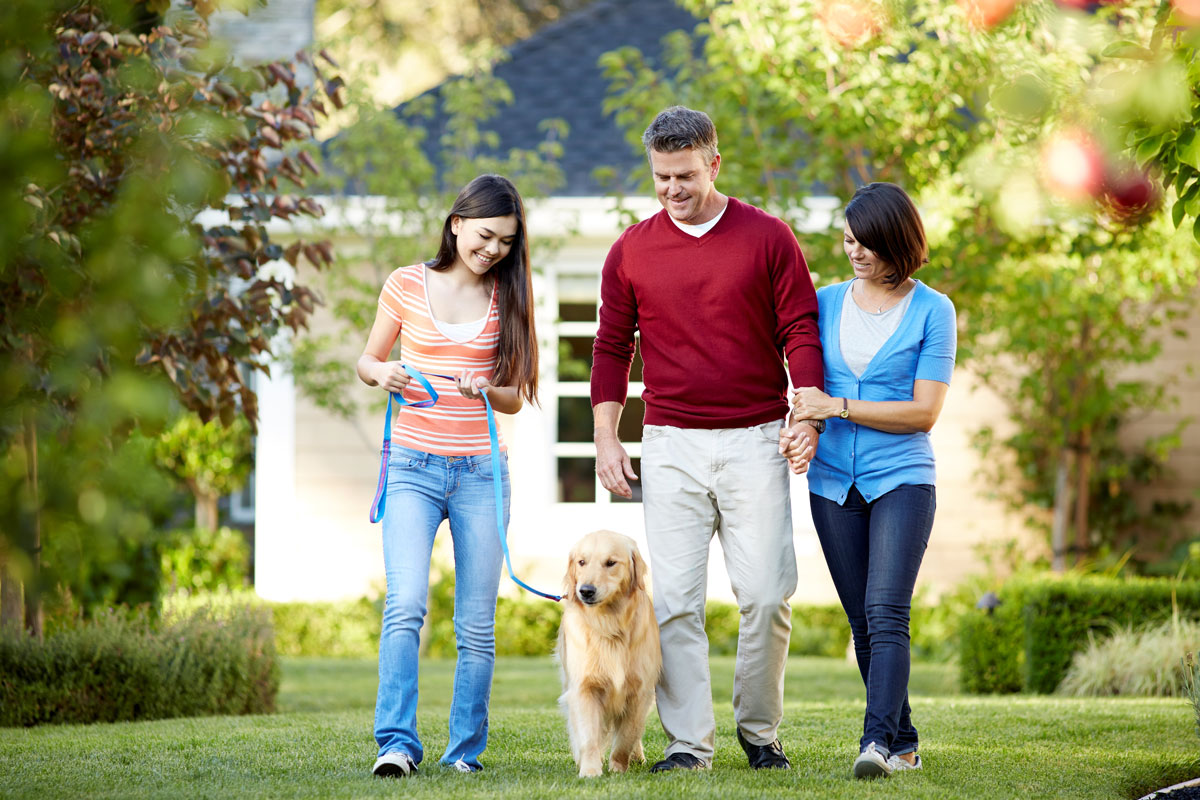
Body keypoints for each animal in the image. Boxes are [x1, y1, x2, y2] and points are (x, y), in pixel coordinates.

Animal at [554, 527, 662, 777]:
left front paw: (618, 768)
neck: (608, 624)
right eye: (582, 562)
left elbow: (626, 738)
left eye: (611, 562)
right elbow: (589, 736)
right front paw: (590, 770)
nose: (585, 591)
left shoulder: (639, 692)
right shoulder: (584, 688)